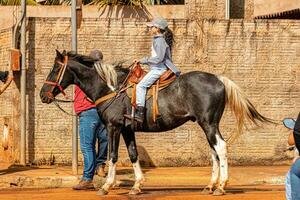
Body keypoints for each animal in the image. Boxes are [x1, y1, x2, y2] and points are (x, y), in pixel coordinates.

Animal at [39, 50, 272, 195]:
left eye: (54, 69)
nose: (43, 95)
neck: (111, 88)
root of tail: (219, 79)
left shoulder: (114, 127)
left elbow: (112, 156)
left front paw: (106, 186)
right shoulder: (127, 129)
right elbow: (133, 154)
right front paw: (137, 185)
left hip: (209, 124)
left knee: (221, 148)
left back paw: (221, 186)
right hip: (207, 125)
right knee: (214, 151)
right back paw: (210, 185)